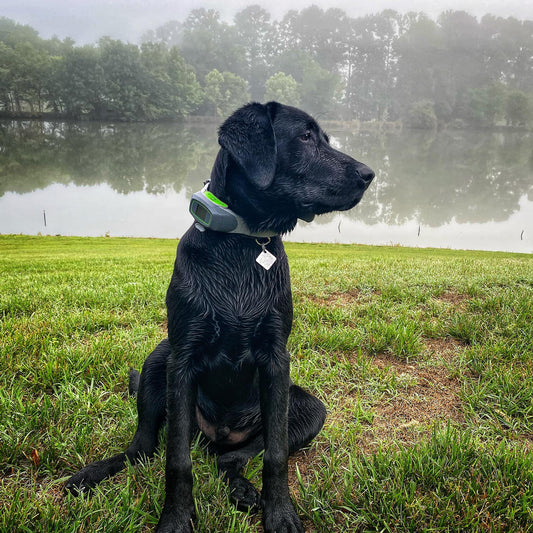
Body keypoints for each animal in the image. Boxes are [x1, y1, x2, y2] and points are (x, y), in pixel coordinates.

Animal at [65, 102, 374, 528]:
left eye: (324, 137)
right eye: (306, 136)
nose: (369, 175)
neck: (244, 244)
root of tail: (216, 436)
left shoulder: (276, 359)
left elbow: (275, 455)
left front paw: (280, 514)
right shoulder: (182, 359)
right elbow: (177, 461)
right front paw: (175, 520)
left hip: (311, 408)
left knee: (232, 459)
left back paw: (243, 490)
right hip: (158, 359)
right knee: (142, 450)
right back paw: (91, 474)